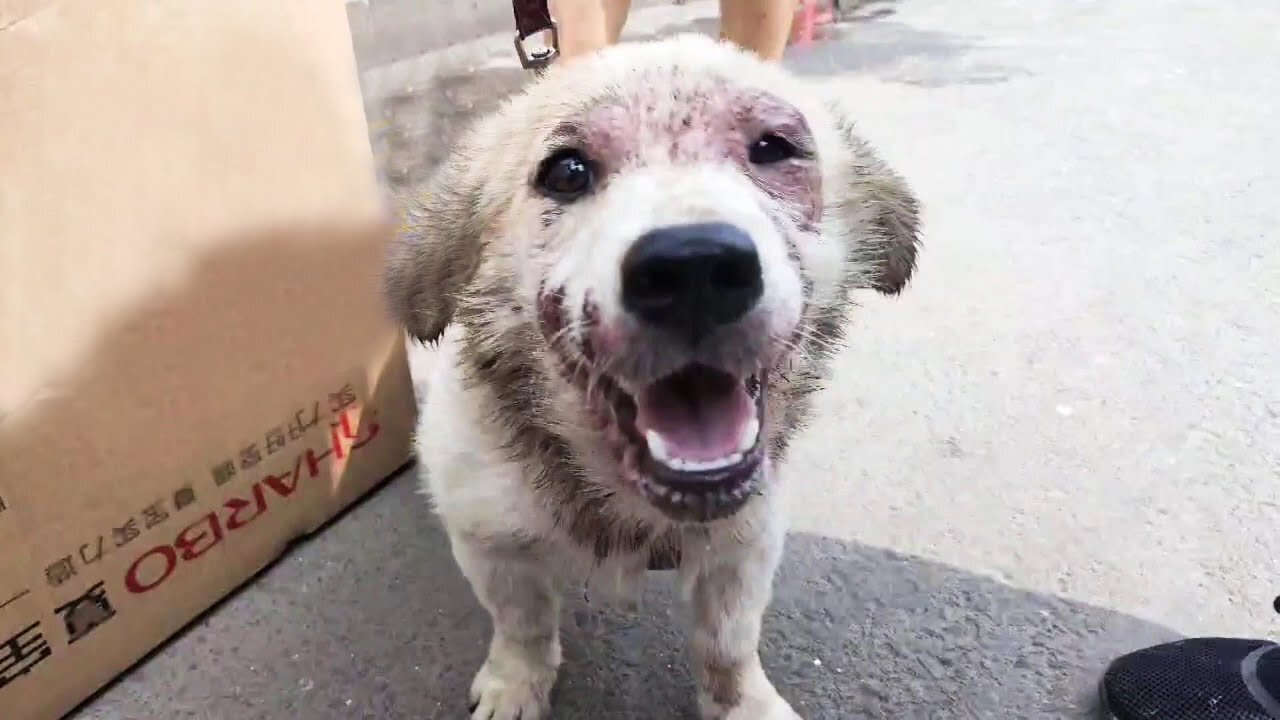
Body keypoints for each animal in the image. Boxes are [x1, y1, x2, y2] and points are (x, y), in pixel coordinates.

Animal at [378, 33, 921, 717]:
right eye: (566, 172)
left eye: (773, 148)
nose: (695, 268)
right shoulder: (488, 536)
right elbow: (522, 624)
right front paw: (515, 684)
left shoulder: (748, 540)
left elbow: (727, 646)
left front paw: (745, 703)